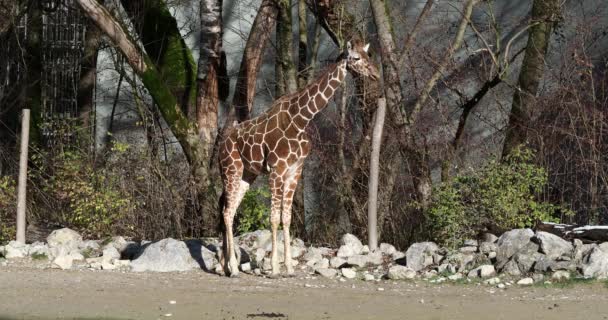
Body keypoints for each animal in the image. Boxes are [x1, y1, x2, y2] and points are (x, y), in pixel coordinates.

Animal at [218, 40, 380, 276]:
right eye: (356, 58)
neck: (302, 118)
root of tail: (221, 143)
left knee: (228, 209)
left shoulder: (295, 170)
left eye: (368, 55)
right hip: (231, 169)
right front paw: (275, 267)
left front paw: (289, 266)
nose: (376, 74)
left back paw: (225, 265)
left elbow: (287, 218)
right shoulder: (276, 170)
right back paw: (232, 267)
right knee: (227, 211)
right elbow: (273, 218)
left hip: (247, 174)